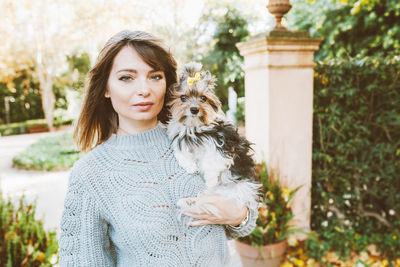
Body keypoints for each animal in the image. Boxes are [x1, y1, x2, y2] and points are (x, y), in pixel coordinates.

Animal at [167, 62, 260, 218]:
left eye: (203, 98)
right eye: (183, 98)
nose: (194, 109)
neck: (194, 128)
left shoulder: (224, 145)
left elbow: (211, 161)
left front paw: (209, 178)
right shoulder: (181, 137)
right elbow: (182, 154)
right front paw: (191, 167)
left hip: (234, 190)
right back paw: (188, 202)